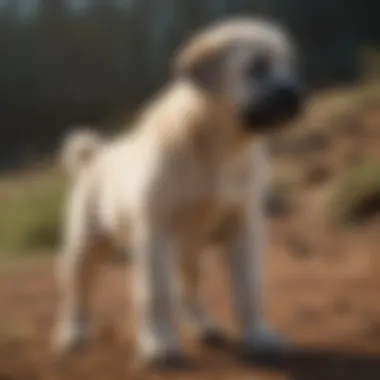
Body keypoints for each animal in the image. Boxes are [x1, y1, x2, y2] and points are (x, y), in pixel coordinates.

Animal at [52, 17, 302, 366]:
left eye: (288, 64)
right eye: (257, 67)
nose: (296, 96)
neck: (218, 148)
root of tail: (96, 155)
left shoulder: (243, 226)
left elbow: (248, 289)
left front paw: (258, 336)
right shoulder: (156, 233)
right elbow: (157, 295)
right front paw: (160, 344)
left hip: (190, 251)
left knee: (190, 291)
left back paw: (204, 327)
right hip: (85, 246)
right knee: (78, 293)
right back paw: (74, 334)